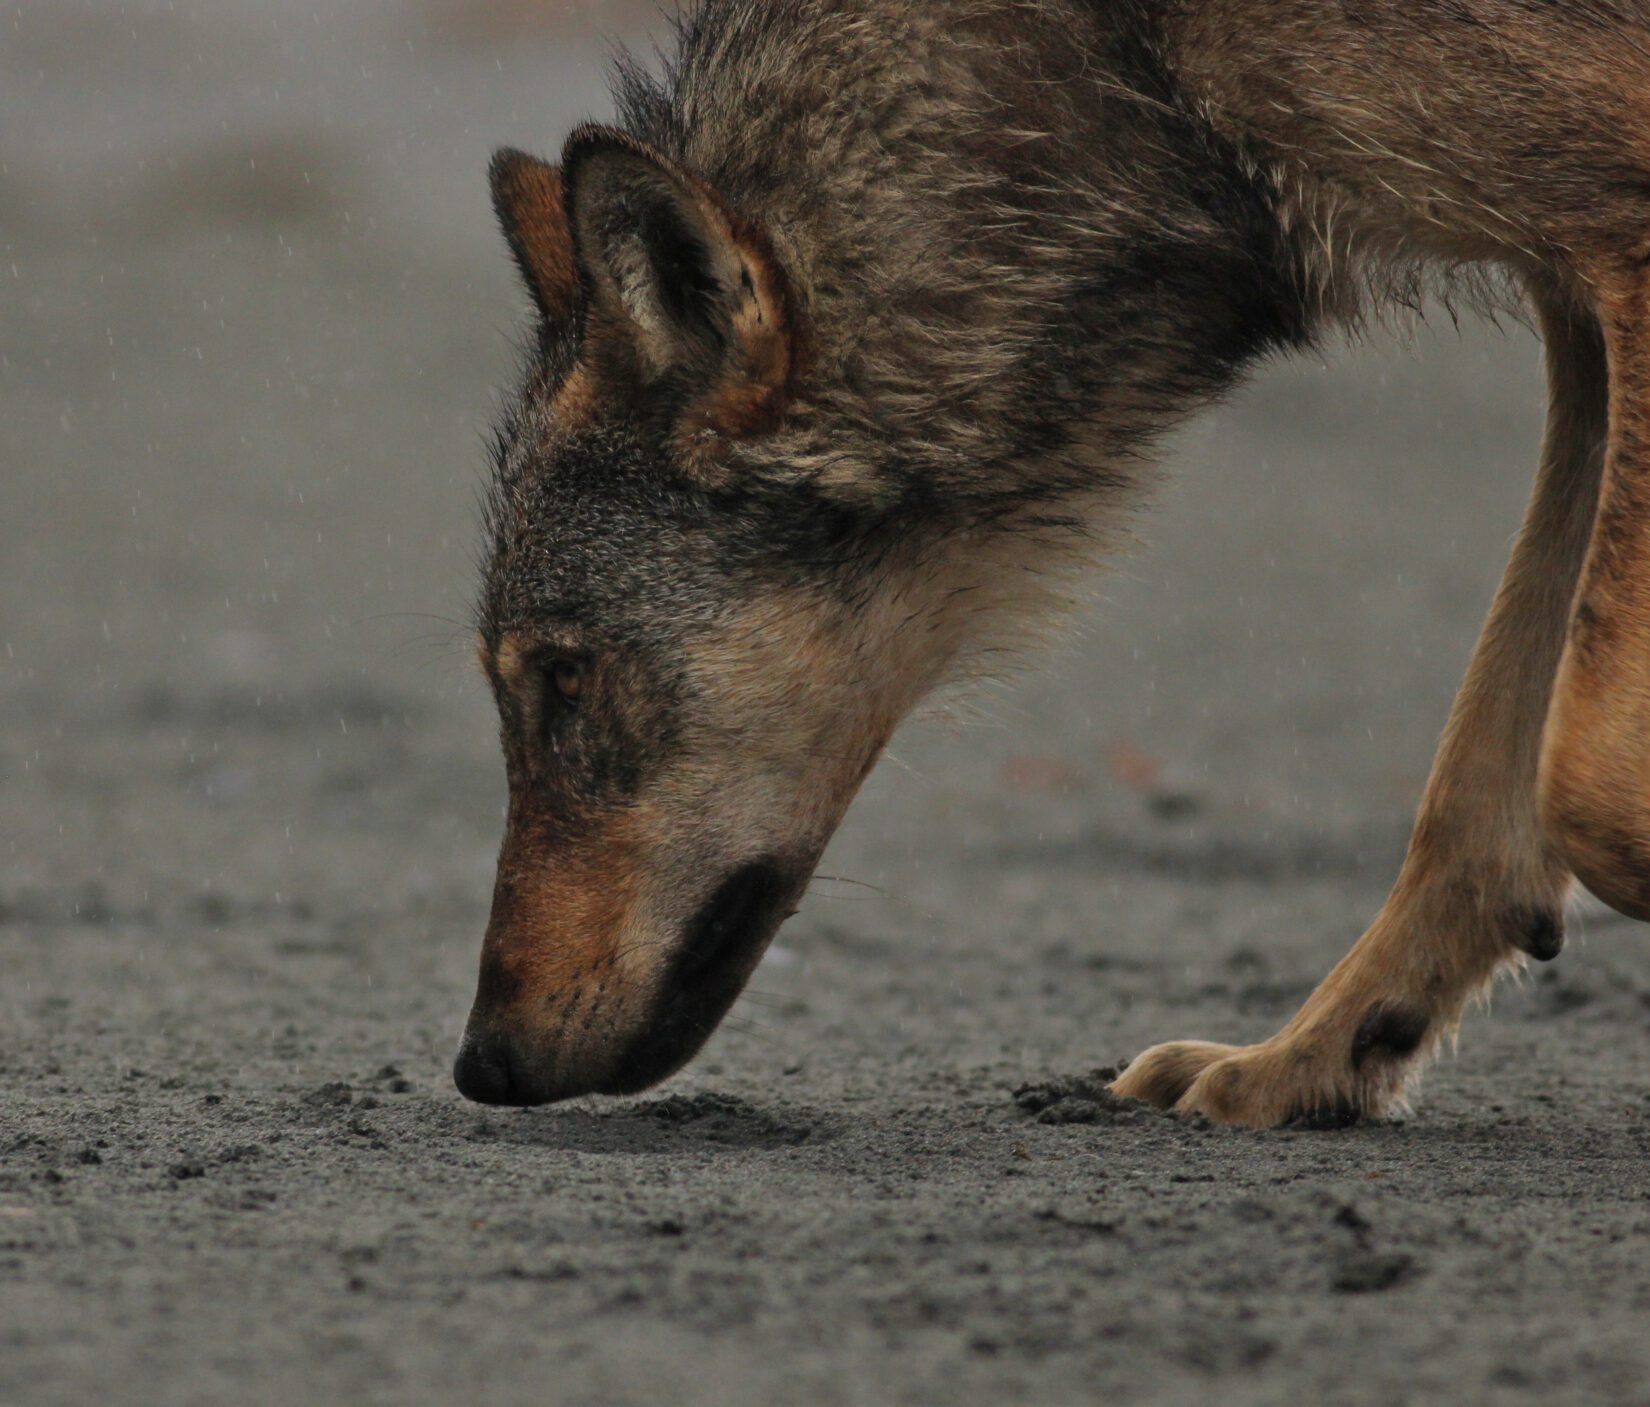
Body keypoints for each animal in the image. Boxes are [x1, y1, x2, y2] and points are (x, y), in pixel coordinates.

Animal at [458, 0, 1650, 1128]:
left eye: (565, 678)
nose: (478, 1065)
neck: (1137, 60)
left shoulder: (1609, 245)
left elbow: (1585, 789)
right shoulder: (1572, 287)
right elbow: (1485, 796)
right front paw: (1308, 1062)